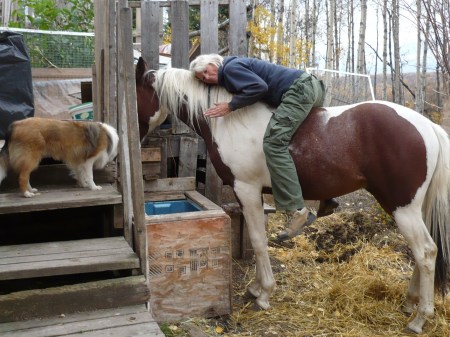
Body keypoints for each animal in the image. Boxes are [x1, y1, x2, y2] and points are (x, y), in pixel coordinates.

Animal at [135, 56, 448, 332]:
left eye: (134, 97)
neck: (230, 120)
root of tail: (428, 126)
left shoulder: (246, 189)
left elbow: (259, 241)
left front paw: (263, 294)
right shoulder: (250, 193)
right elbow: (257, 238)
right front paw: (256, 287)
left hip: (401, 207)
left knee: (426, 251)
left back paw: (420, 318)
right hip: (412, 208)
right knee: (422, 252)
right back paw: (410, 303)